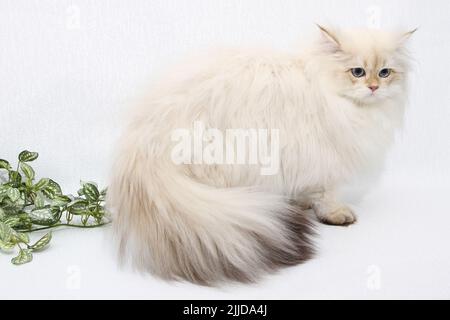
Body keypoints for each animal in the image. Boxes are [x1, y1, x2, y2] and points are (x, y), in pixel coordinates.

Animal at [106, 25, 414, 284]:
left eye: (385, 72)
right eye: (358, 72)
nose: (374, 87)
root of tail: (143, 149)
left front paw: (303, 204)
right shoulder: (322, 155)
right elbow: (327, 194)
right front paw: (334, 213)